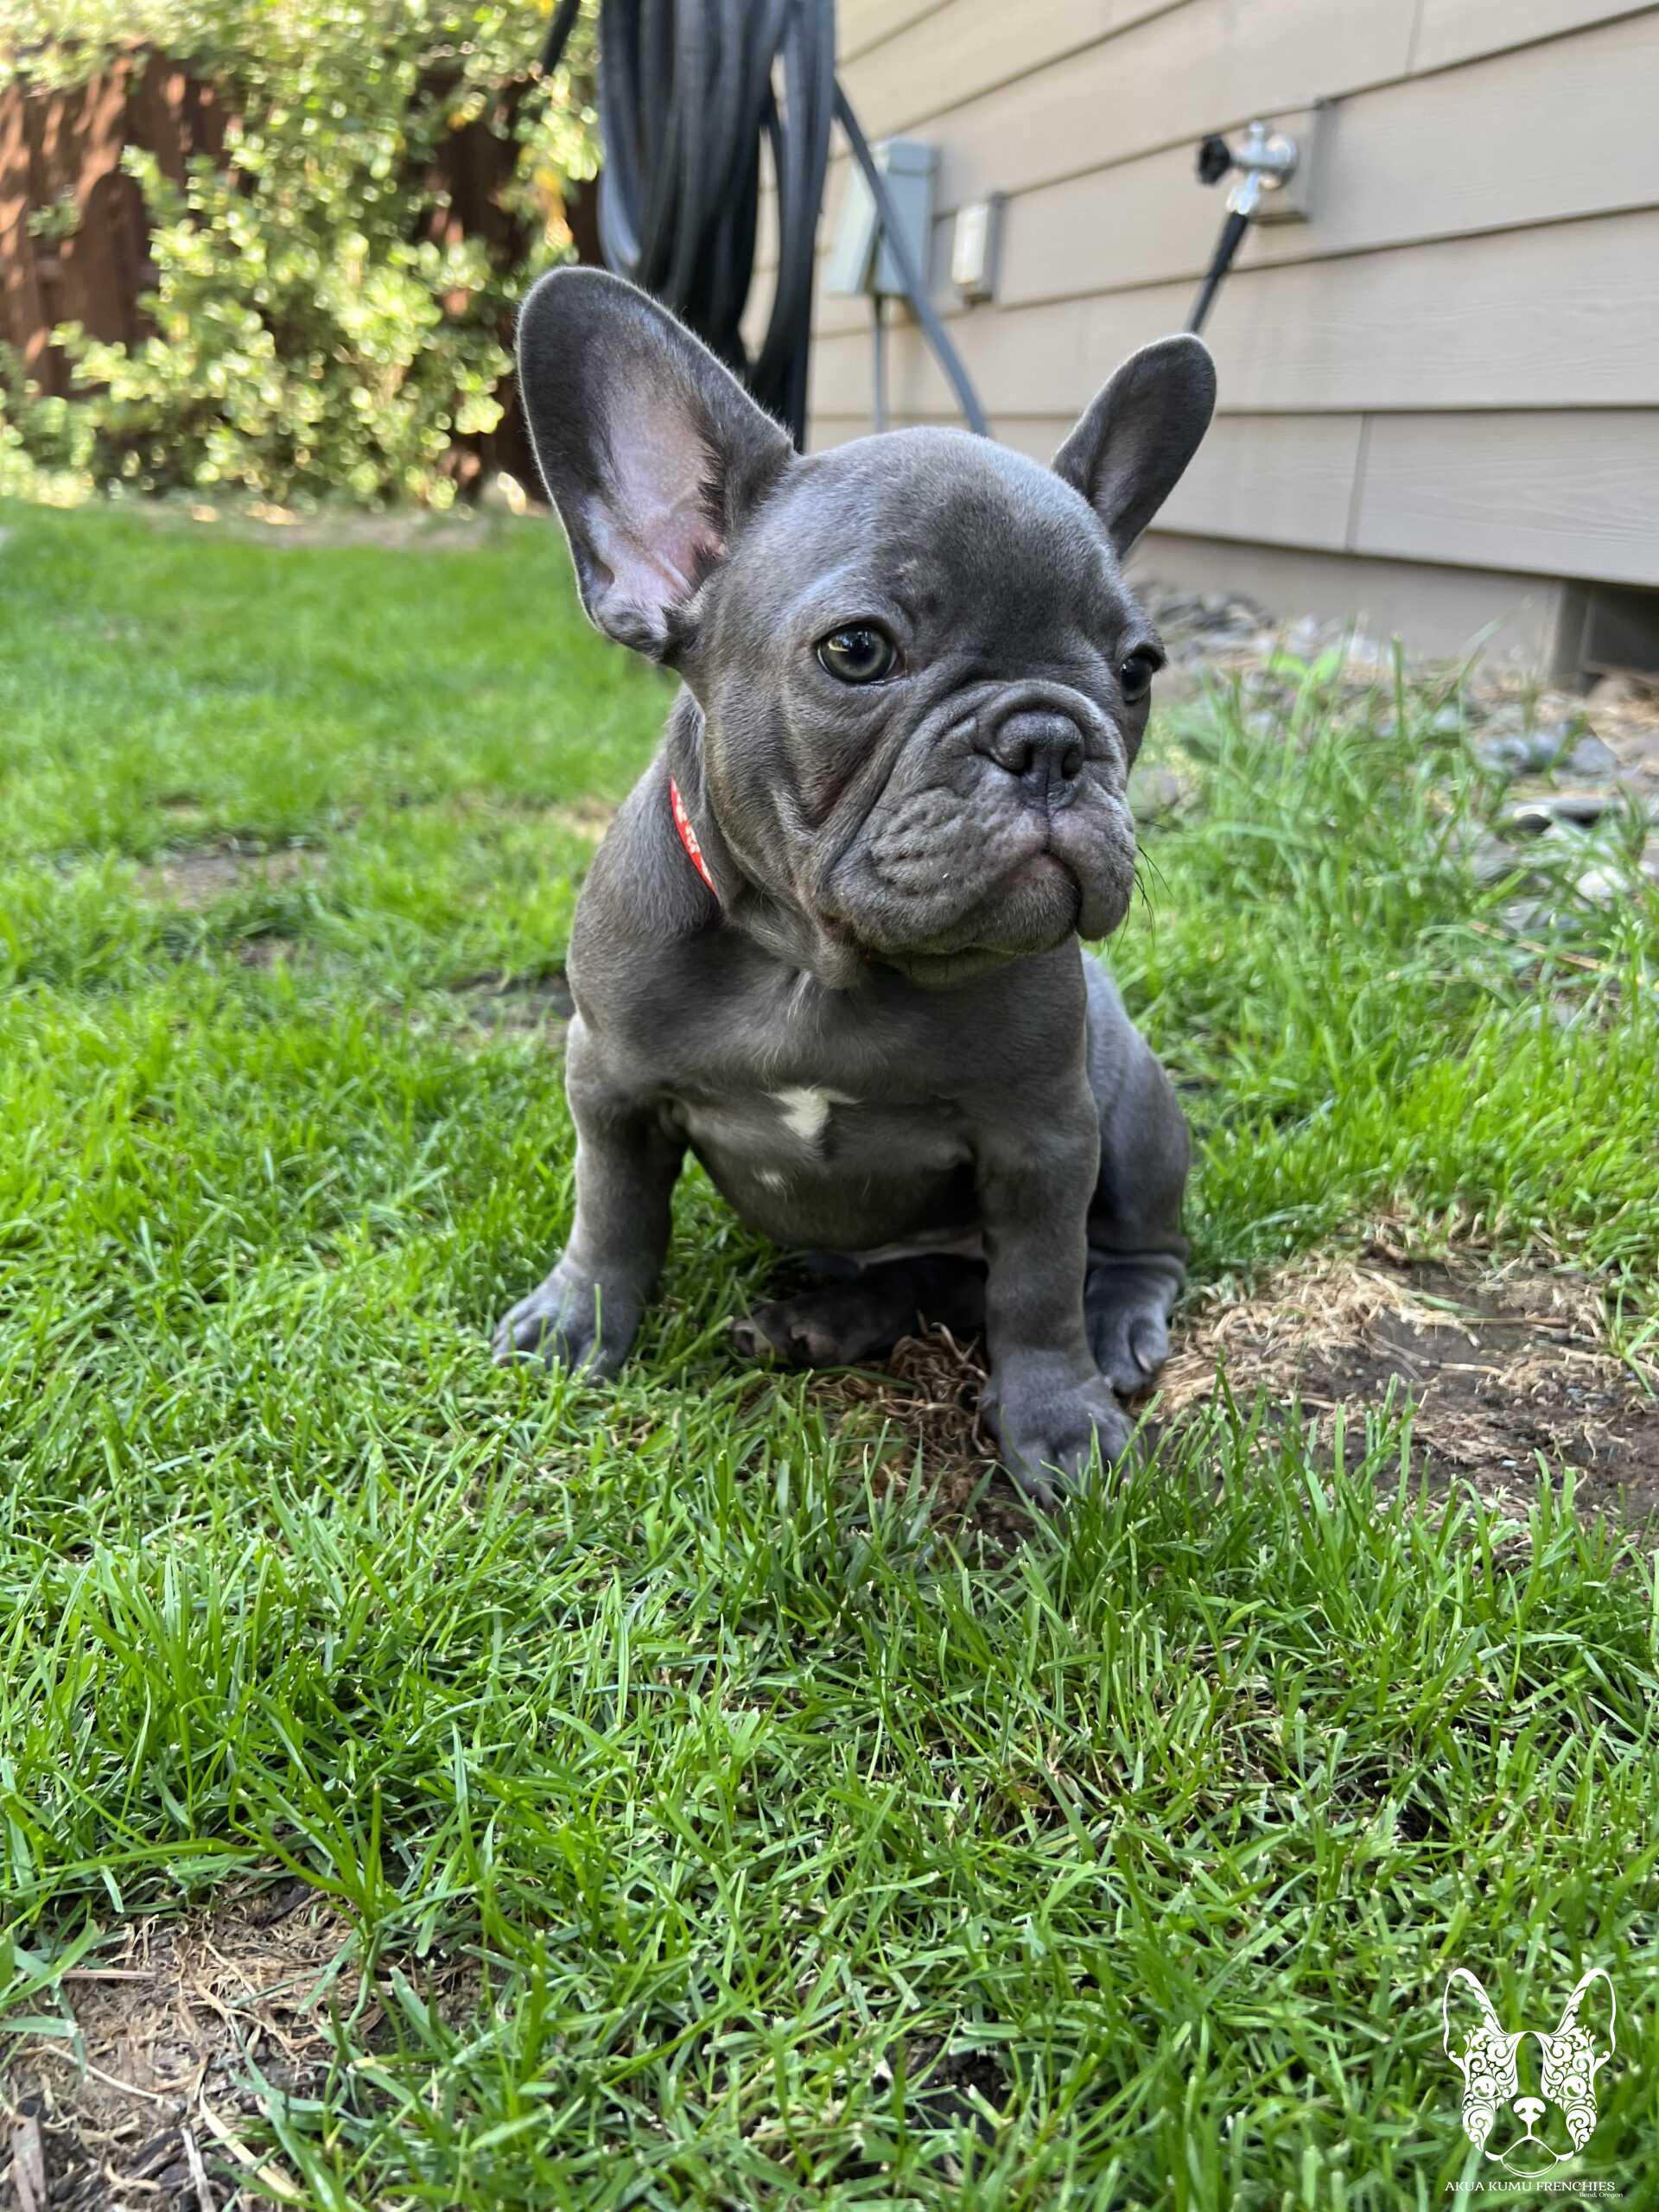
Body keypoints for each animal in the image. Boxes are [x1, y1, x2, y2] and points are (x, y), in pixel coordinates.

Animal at [498, 263, 1221, 1503]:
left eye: (1138, 669)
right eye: (857, 650)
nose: (1050, 741)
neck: (813, 960)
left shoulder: (1044, 1136)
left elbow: (1039, 1285)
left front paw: (1060, 1421)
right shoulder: (610, 1083)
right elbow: (614, 1211)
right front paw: (580, 1318)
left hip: (1133, 1112)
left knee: (1127, 1248)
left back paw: (1113, 1322)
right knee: (935, 1281)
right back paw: (822, 1321)